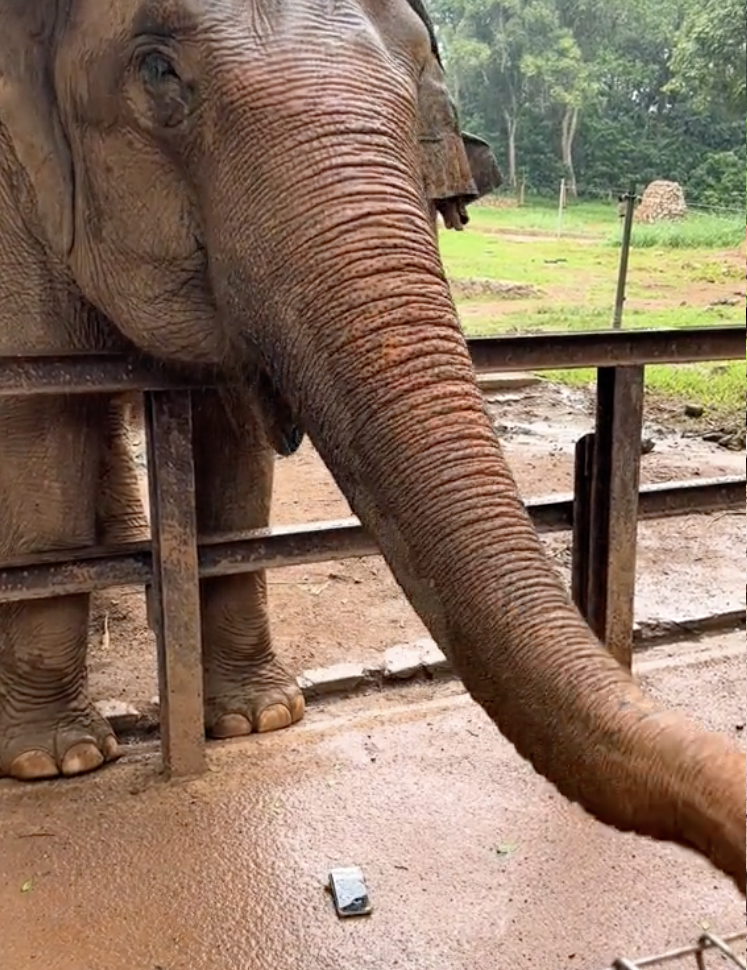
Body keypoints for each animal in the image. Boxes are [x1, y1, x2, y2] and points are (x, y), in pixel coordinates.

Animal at [0, 0, 744, 896]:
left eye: (419, 77)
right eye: (156, 71)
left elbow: (232, 453)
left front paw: (261, 717)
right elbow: (45, 440)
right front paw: (59, 763)